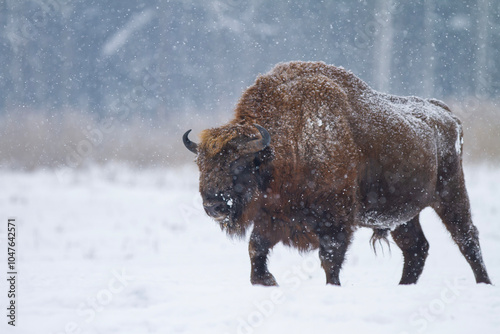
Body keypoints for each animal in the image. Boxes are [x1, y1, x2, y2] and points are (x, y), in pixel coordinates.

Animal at [182, 61, 490, 286]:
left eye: (239, 164)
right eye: (202, 165)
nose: (214, 206)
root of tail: (448, 115)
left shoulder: (335, 220)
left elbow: (330, 259)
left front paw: (332, 286)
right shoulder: (271, 217)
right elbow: (256, 248)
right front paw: (266, 281)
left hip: (451, 194)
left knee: (467, 238)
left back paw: (483, 283)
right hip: (403, 213)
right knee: (416, 248)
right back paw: (404, 286)